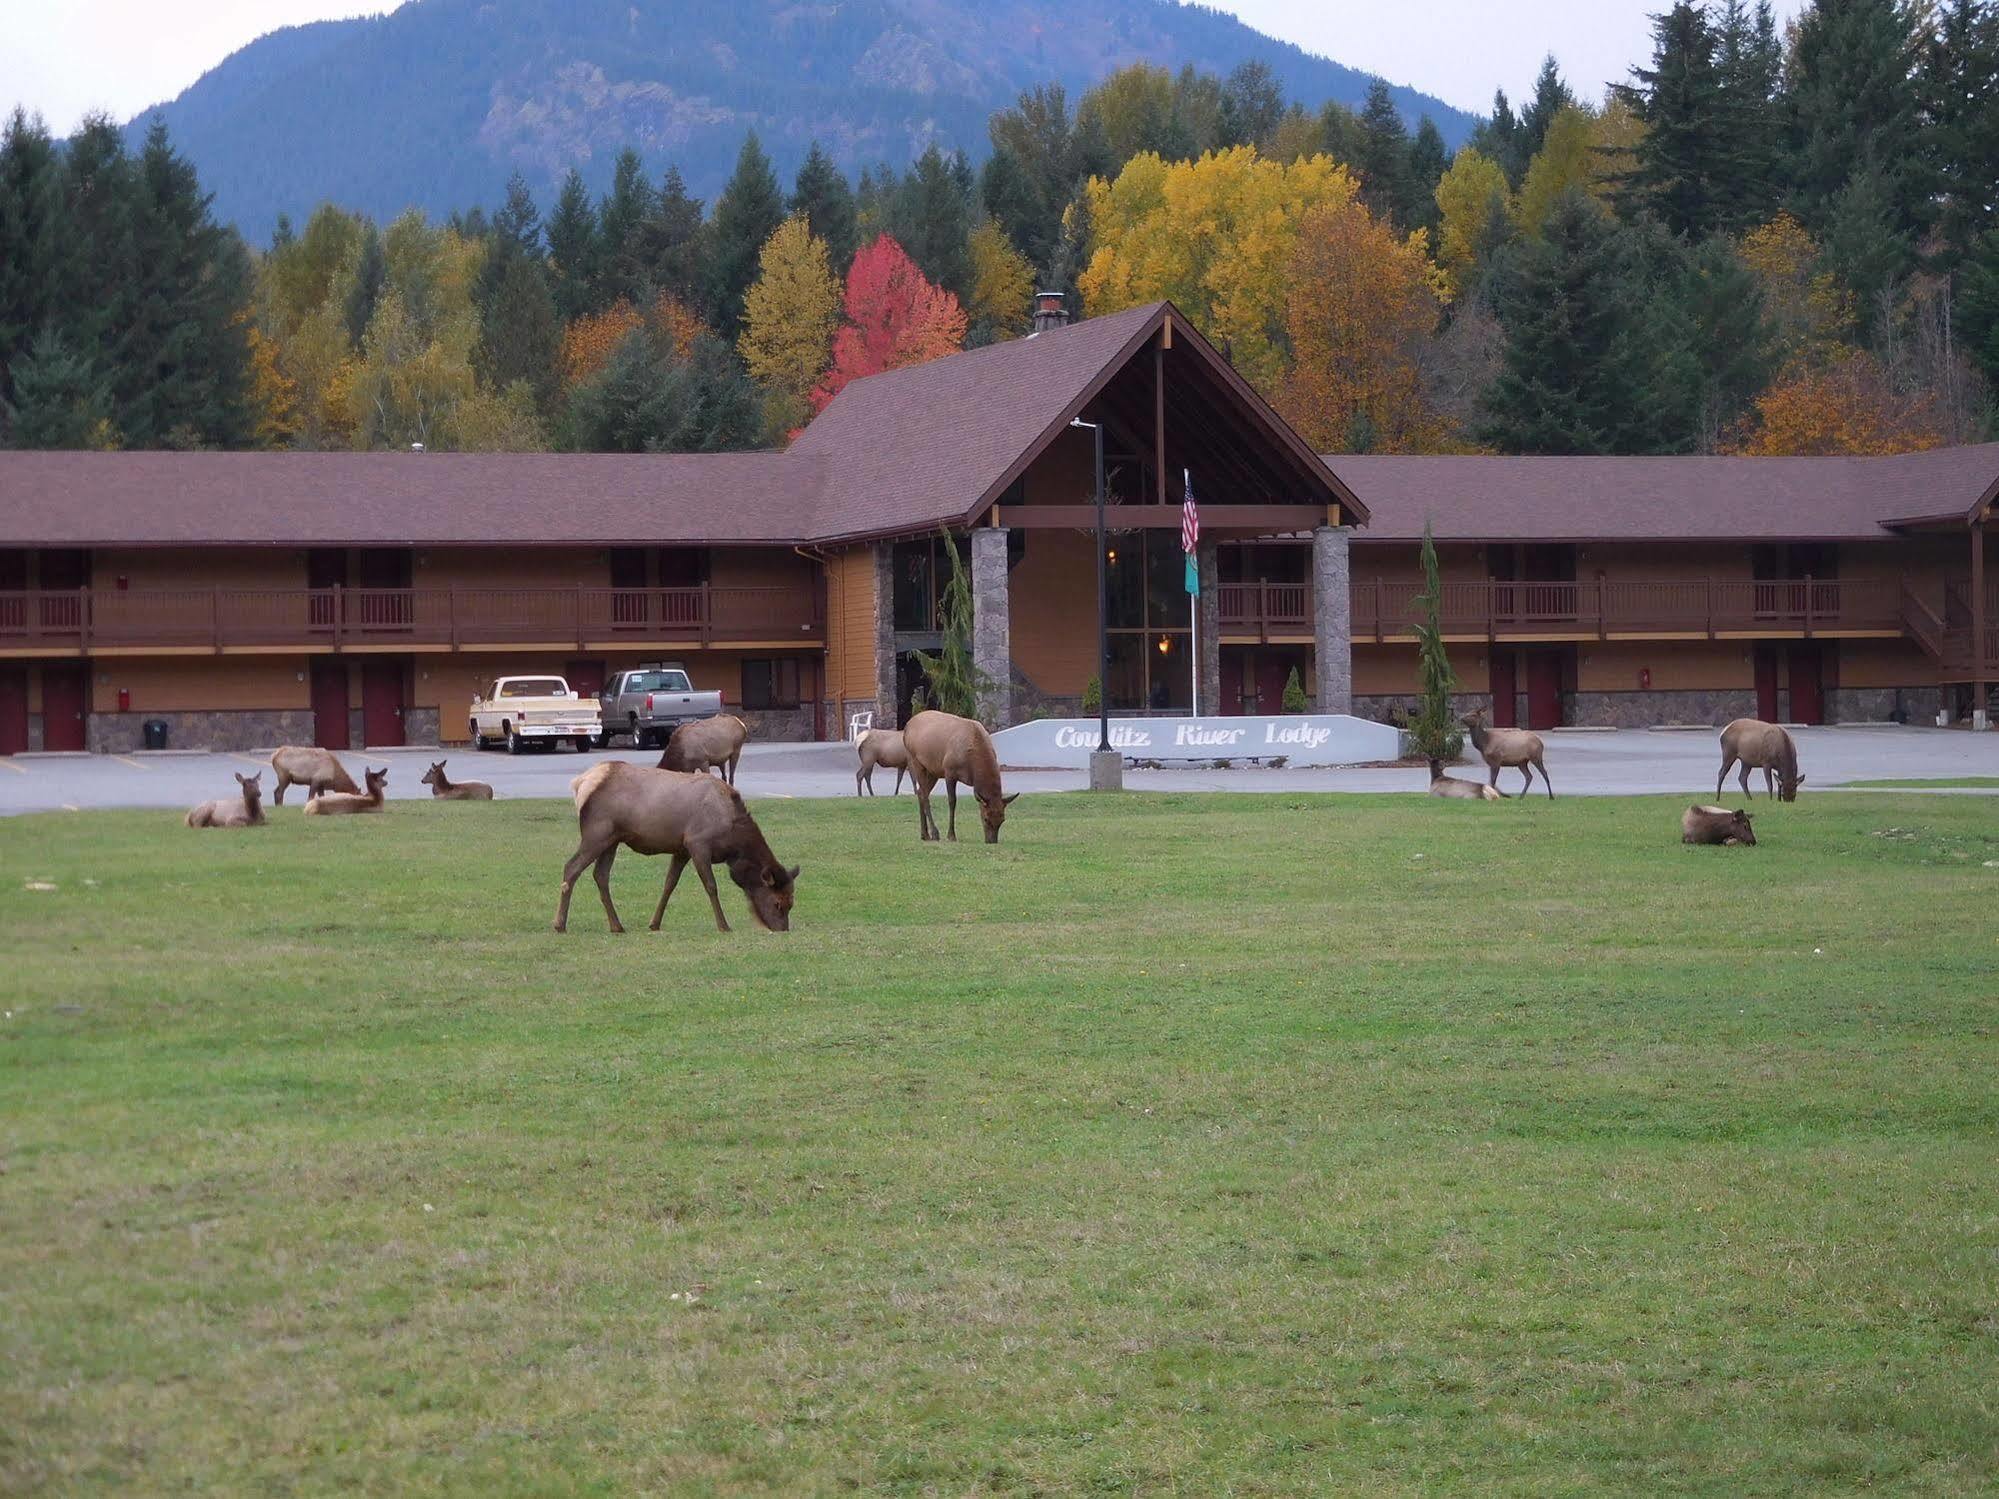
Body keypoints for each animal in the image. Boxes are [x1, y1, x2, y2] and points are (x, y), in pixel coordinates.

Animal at [555, 767, 795, 935]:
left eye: (792, 903)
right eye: (778, 903)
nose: (782, 929)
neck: (733, 842)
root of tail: (581, 784)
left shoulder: (682, 849)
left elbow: (669, 884)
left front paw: (654, 923)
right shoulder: (698, 843)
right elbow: (711, 886)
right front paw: (723, 925)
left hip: (612, 840)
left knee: (601, 875)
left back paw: (617, 926)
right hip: (596, 834)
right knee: (571, 867)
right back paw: (559, 924)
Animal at [903, 711, 1015, 847]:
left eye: (1002, 819)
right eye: (986, 818)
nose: (991, 841)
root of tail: (906, 727)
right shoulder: (949, 771)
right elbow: (952, 801)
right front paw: (951, 835)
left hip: (933, 770)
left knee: (920, 793)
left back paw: (924, 834)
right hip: (915, 760)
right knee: (924, 795)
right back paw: (934, 833)